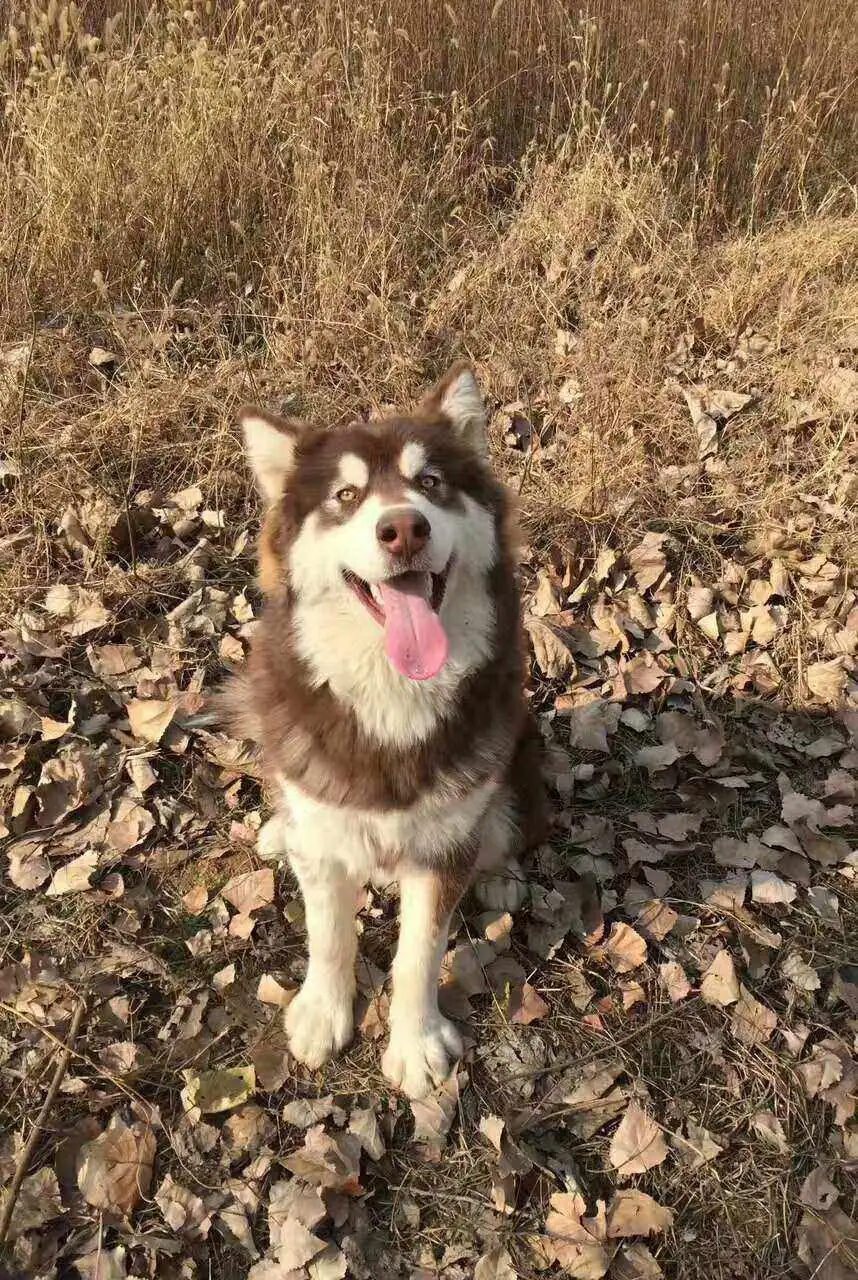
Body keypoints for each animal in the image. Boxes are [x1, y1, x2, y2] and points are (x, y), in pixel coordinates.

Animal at [230, 363, 550, 1100]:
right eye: (346, 496)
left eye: (429, 482)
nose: (402, 529)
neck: (390, 692)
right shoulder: (324, 833)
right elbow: (329, 935)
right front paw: (322, 1012)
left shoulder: (444, 843)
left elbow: (418, 953)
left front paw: (416, 1043)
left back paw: (503, 872)